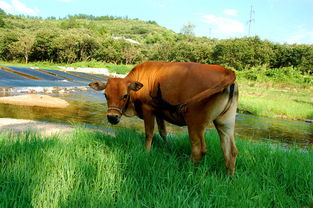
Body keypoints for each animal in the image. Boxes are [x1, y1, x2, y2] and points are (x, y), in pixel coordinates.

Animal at [89, 61, 238, 175]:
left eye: (124, 95)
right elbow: (163, 132)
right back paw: (228, 177)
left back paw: (187, 170)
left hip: (195, 123)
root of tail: (226, 71)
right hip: (225, 123)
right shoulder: (159, 113)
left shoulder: (148, 110)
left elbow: (149, 133)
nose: (112, 117)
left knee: (198, 150)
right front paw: (167, 147)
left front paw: (146, 152)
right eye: (105, 95)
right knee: (231, 150)